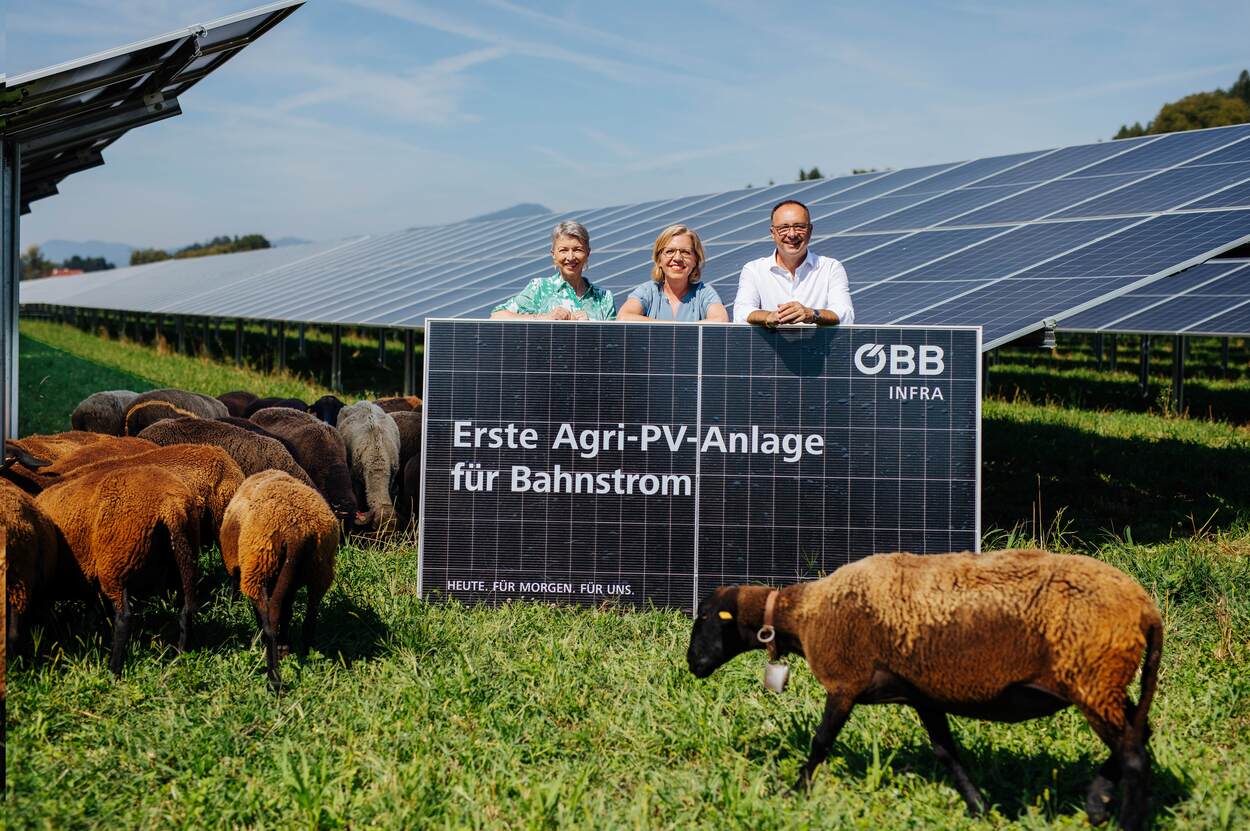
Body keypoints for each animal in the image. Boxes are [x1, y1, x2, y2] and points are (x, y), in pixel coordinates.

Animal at [36, 462, 205, 669]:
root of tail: (170, 505)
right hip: (183, 561)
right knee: (185, 611)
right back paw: (179, 657)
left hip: (116, 567)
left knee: (124, 617)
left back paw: (113, 667)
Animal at [220, 469, 337, 689]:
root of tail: (297, 530)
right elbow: (288, 612)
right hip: (319, 570)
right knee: (309, 616)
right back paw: (303, 653)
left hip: (258, 568)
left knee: (270, 617)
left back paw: (273, 677)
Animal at [685, 544, 1160, 829]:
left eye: (704, 618)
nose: (692, 665)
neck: (803, 616)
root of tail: (1145, 608)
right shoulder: (922, 693)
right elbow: (946, 752)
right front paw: (979, 807)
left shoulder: (846, 683)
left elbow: (821, 742)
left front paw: (793, 791)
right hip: (1104, 684)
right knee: (1141, 735)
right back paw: (1098, 801)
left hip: (1093, 678)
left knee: (1134, 755)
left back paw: (1123, 817)